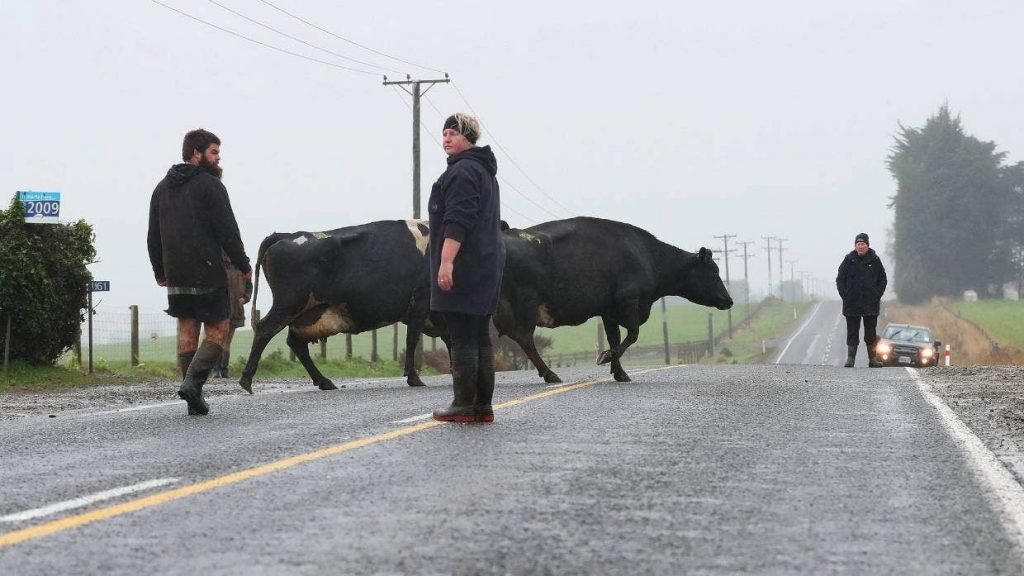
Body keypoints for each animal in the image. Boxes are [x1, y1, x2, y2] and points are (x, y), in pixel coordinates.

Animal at [239, 218, 440, 389]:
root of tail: (286, 235)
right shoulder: (421, 300)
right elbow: (412, 339)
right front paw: (413, 377)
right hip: (289, 304)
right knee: (265, 330)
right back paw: (246, 379)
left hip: (306, 312)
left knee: (295, 342)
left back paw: (323, 381)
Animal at [493, 215, 729, 381]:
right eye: (714, 271)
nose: (729, 300)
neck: (648, 257)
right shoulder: (628, 301)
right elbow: (632, 335)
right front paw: (606, 357)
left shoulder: (609, 311)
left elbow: (615, 338)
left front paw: (619, 371)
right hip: (525, 307)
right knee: (525, 339)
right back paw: (549, 374)